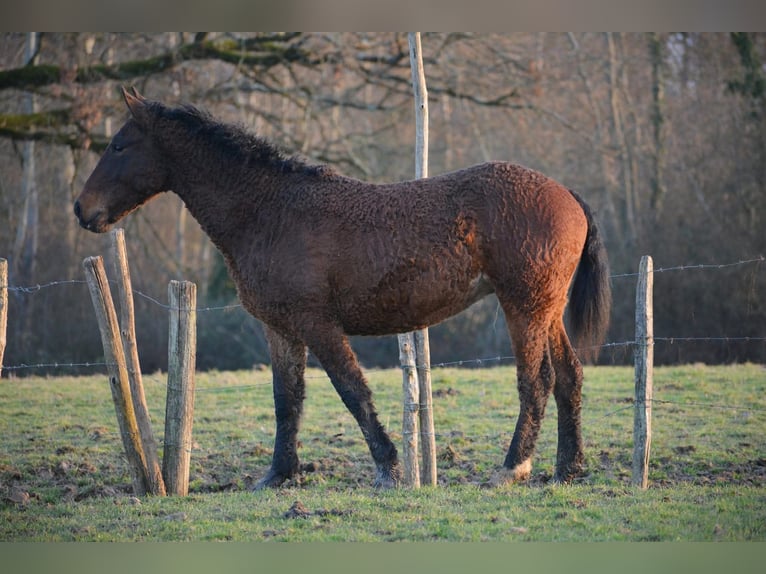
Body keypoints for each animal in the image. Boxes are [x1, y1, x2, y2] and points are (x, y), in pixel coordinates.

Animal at [74, 88, 611, 489]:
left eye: (119, 146)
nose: (82, 209)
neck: (271, 211)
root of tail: (566, 194)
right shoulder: (281, 329)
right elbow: (286, 399)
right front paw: (279, 475)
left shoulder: (318, 324)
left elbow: (352, 391)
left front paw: (390, 470)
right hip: (546, 309)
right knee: (570, 377)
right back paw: (568, 469)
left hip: (524, 307)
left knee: (537, 382)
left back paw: (512, 468)